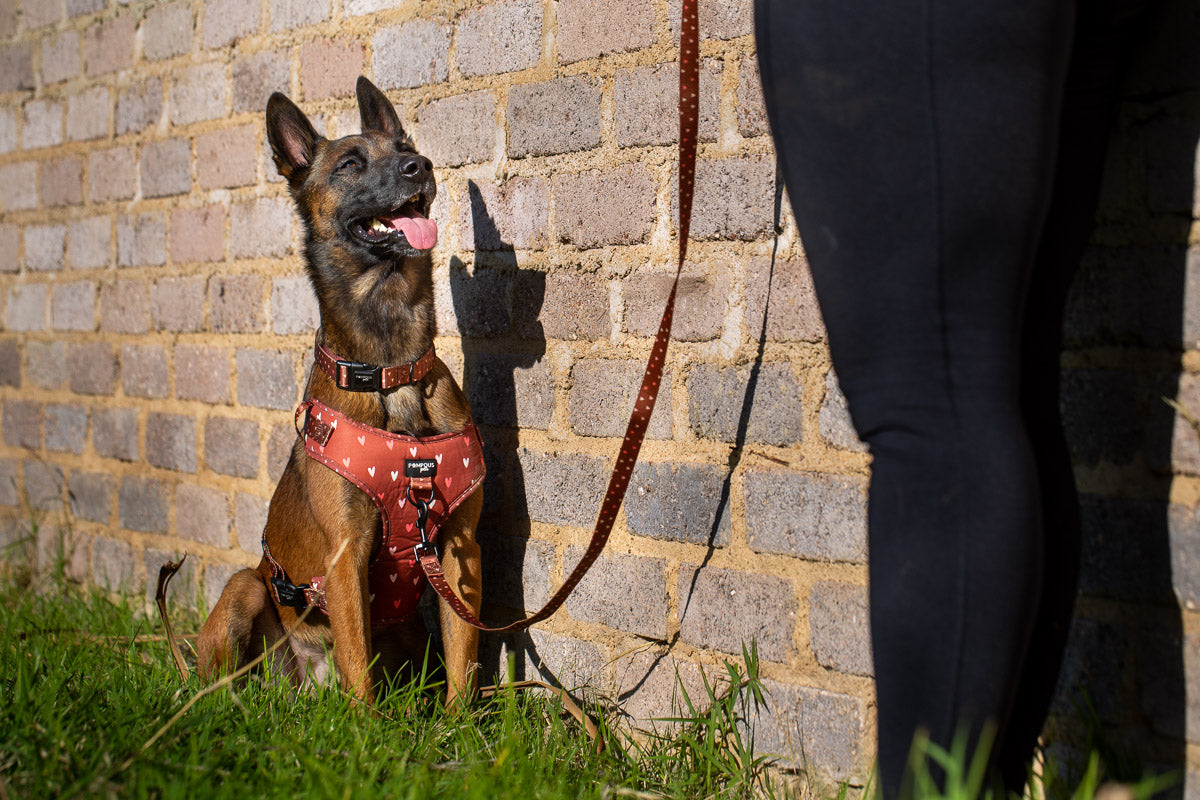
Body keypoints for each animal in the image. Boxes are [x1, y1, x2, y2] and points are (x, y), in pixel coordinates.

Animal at [196, 73, 482, 700]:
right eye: (351, 164)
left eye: (405, 148)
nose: (420, 167)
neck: (391, 371)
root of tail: (307, 687)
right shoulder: (345, 559)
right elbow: (358, 668)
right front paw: (367, 724)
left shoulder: (459, 551)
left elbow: (464, 663)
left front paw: (463, 724)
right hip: (246, 588)